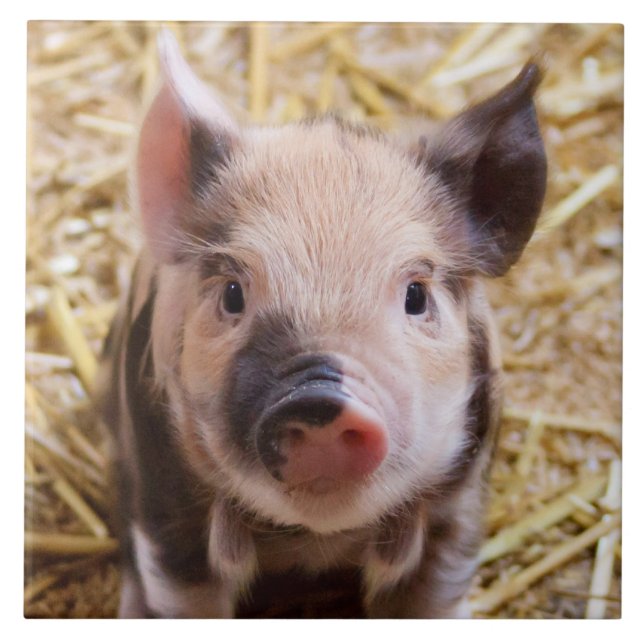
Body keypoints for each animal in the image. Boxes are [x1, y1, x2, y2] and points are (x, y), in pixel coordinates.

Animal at [98, 30, 546, 618]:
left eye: (416, 296)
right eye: (233, 294)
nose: (319, 397)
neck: (315, 541)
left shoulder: (461, 502)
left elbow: (431, 596)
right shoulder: (165, 500)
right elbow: (184, 597)